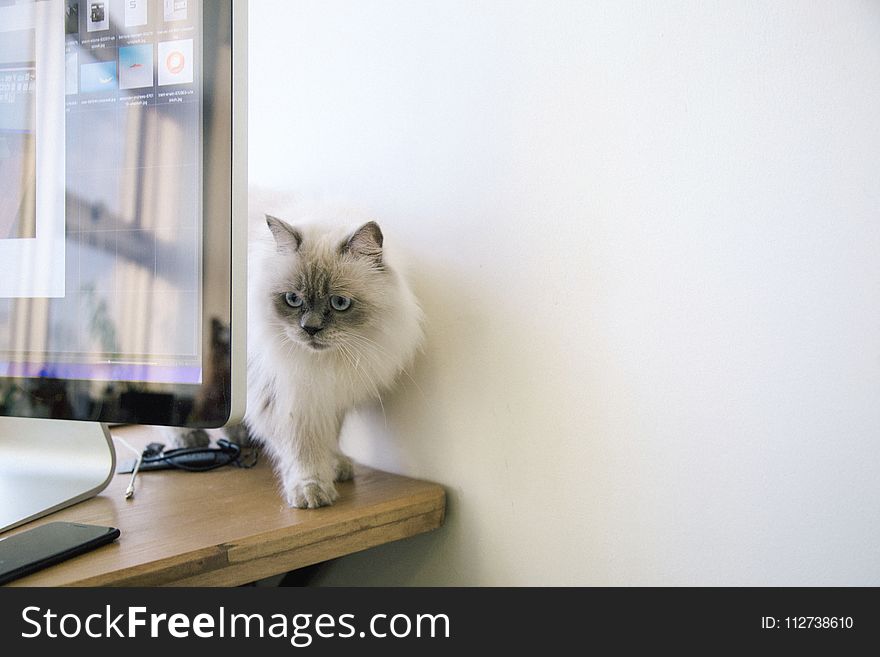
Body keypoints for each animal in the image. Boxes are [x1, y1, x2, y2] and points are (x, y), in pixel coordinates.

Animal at [171, 197, 422, 510]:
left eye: (340, 303)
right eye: (293, 299)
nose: (310, 329)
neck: (323, 363)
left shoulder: (329, 391)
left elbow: (329, 437)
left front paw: (335, 465)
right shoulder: (288, 396)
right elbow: (303, 450)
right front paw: (311, 489)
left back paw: (238, 434)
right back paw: (189, 438)